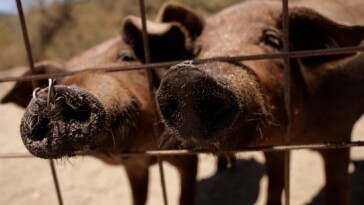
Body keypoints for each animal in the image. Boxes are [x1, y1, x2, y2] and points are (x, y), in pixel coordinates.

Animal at [0, 3, 205, 205]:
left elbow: (185, 193)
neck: (146, 152)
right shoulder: (134, 165)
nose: (49, 97)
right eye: (59, 79)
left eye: (127, 57)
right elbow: (137, 196)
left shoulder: (186, 153)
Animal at [158, 0, 364, 204]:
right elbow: (274, 183)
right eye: (197, 50)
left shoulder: (339, 133)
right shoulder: (272, 147)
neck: (297, 138)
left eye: (273, 41)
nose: (185, 79)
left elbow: (337, 189)